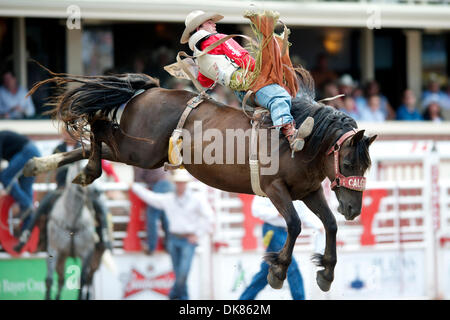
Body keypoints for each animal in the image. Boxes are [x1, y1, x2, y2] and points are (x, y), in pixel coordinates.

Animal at [24, 69, 376, 292]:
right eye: (347, 163)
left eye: (367, 167)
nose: (353, 209)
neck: (299, 141)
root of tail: (151, 89)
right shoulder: (275, 189)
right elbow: (294, 224)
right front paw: (277, 271)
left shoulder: (310, 190)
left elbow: (329, 224)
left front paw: (326, 272)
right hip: (141, 152)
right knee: (97, 126)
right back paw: (86, 169)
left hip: (140, 153)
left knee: (90, 144)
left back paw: (43, 164)